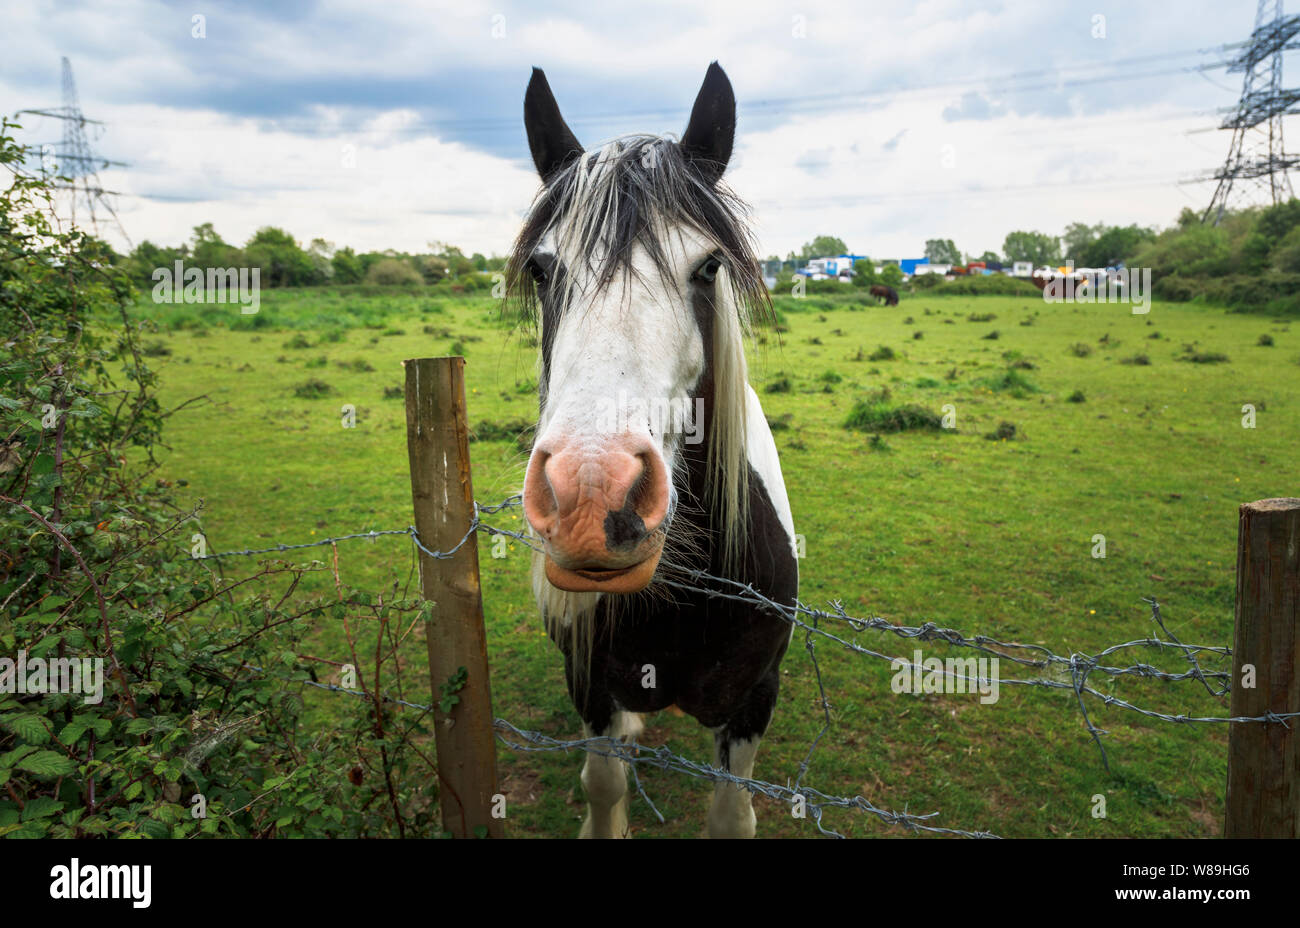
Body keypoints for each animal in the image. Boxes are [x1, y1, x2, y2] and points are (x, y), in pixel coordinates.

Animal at [508, 62, 799, 838]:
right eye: (543, 270)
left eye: (708, 267)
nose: (591, 497)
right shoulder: (589, 685)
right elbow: (604, 783)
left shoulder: (755, 698)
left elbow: (731, 815)